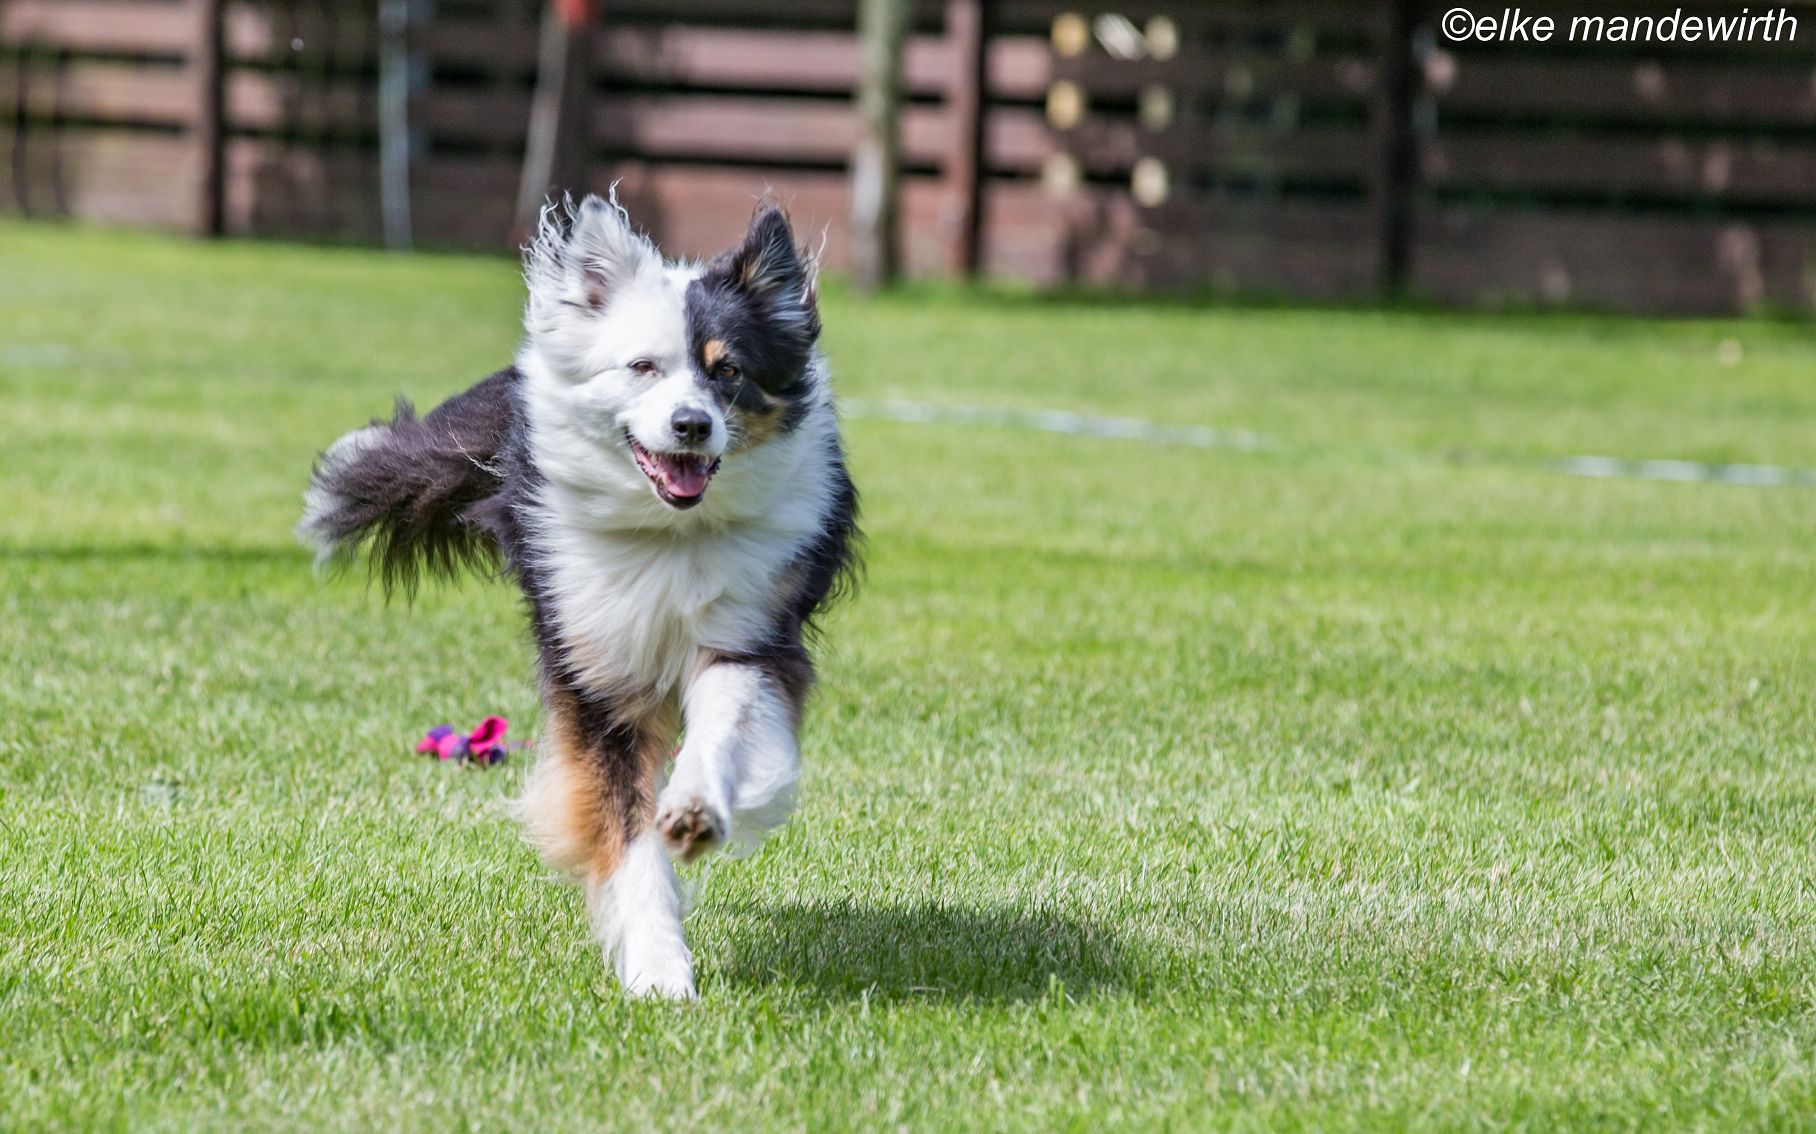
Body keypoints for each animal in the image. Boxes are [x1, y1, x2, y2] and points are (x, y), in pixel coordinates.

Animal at [299, 194, 859, 999]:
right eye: (643, 367)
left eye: (729, 371)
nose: (692, 425)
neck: (667, 534)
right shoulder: (596, 671)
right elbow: (623, 833)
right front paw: (659, 968)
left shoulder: (751, 631)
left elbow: (722, 726)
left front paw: (695, 811)